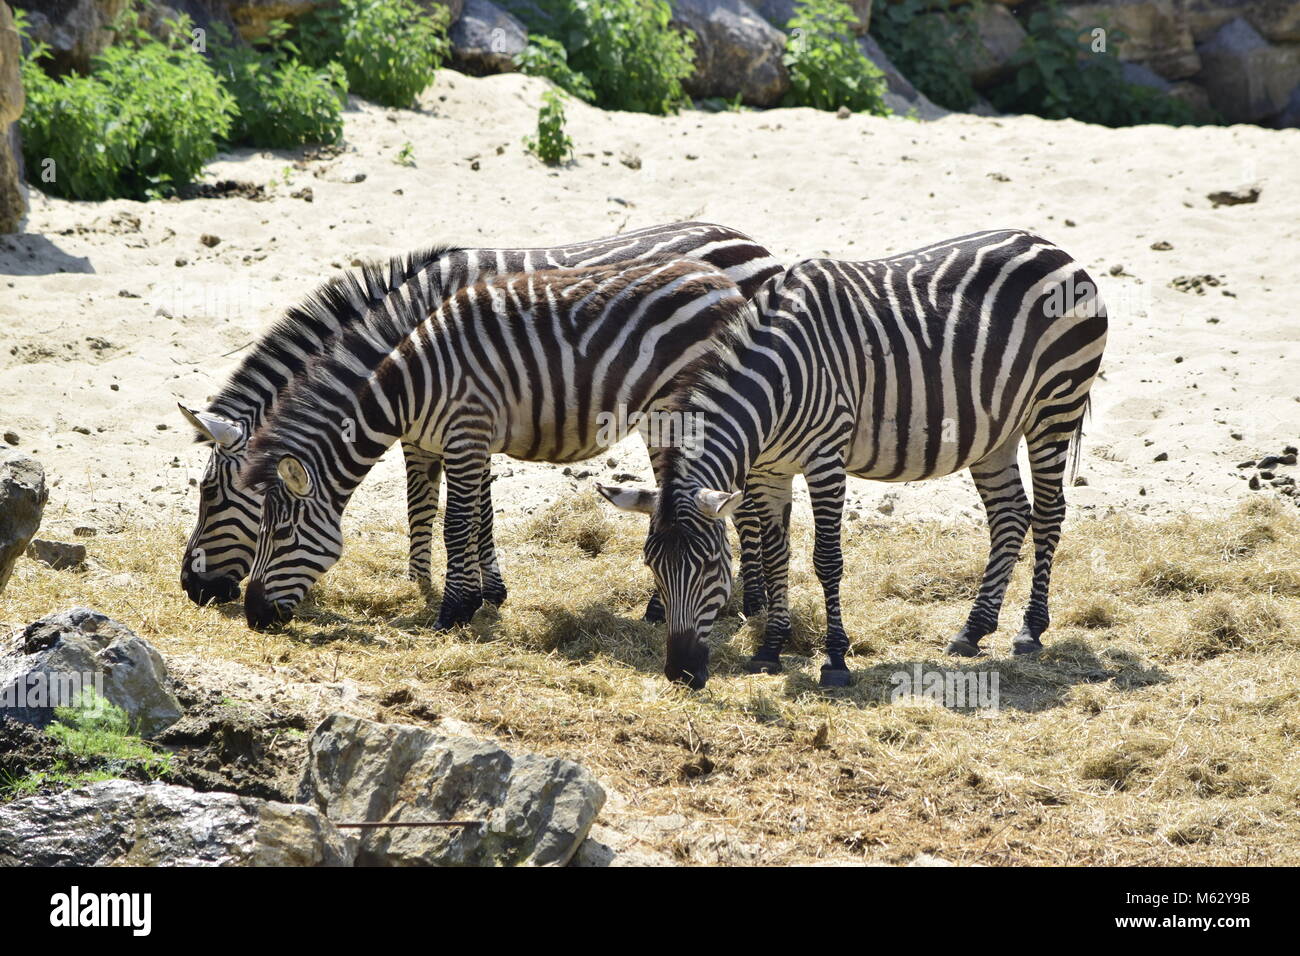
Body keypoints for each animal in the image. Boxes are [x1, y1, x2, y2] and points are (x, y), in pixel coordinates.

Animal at [175, 221, 780, 616]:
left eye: (211, 496)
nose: (190, 586)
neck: (408, 319)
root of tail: (756, 244)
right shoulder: (440, 426)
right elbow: (443, 506)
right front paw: (438, 585)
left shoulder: (460, 416)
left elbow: (452, 509)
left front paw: (460, 593)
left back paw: (740, 602)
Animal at [598, 234, 1107, 697]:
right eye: (651, 566)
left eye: (709, 566)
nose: (681, 674)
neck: (775, 386)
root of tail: (1050, 245)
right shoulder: (767, 472)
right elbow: (776, 557)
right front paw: (770, 650)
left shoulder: (826, 459)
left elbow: (827, 560)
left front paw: (835, 660)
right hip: (995, 431)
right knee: (1010, 515)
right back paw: (972, 630)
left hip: (1055, 404)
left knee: (1048, 513)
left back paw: (1030, 630)